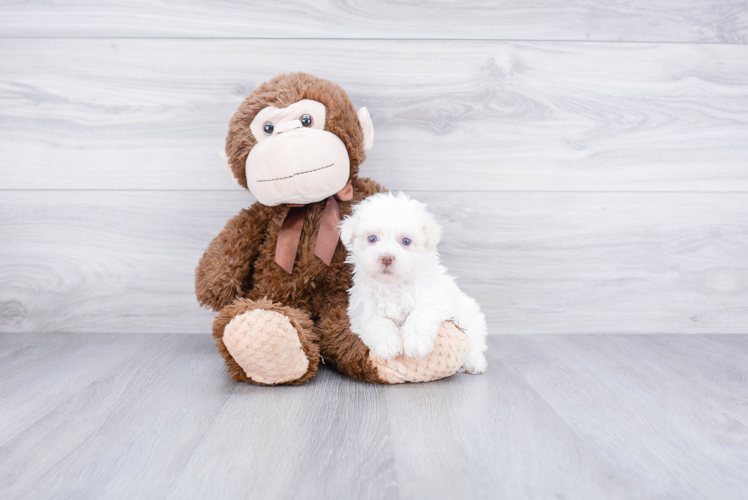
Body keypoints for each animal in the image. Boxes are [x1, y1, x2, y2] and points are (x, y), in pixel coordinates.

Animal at [340, 193, 490, 374]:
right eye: (372, 238)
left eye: (406, 241)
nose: (386, 258)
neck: (393, 285)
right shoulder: (363, 311)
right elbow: (377, 322)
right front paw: (388, 344)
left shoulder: (434, 300)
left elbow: (420, 315)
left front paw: (416, 343)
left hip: (472, 321)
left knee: (474, 345)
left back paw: (474, 363)